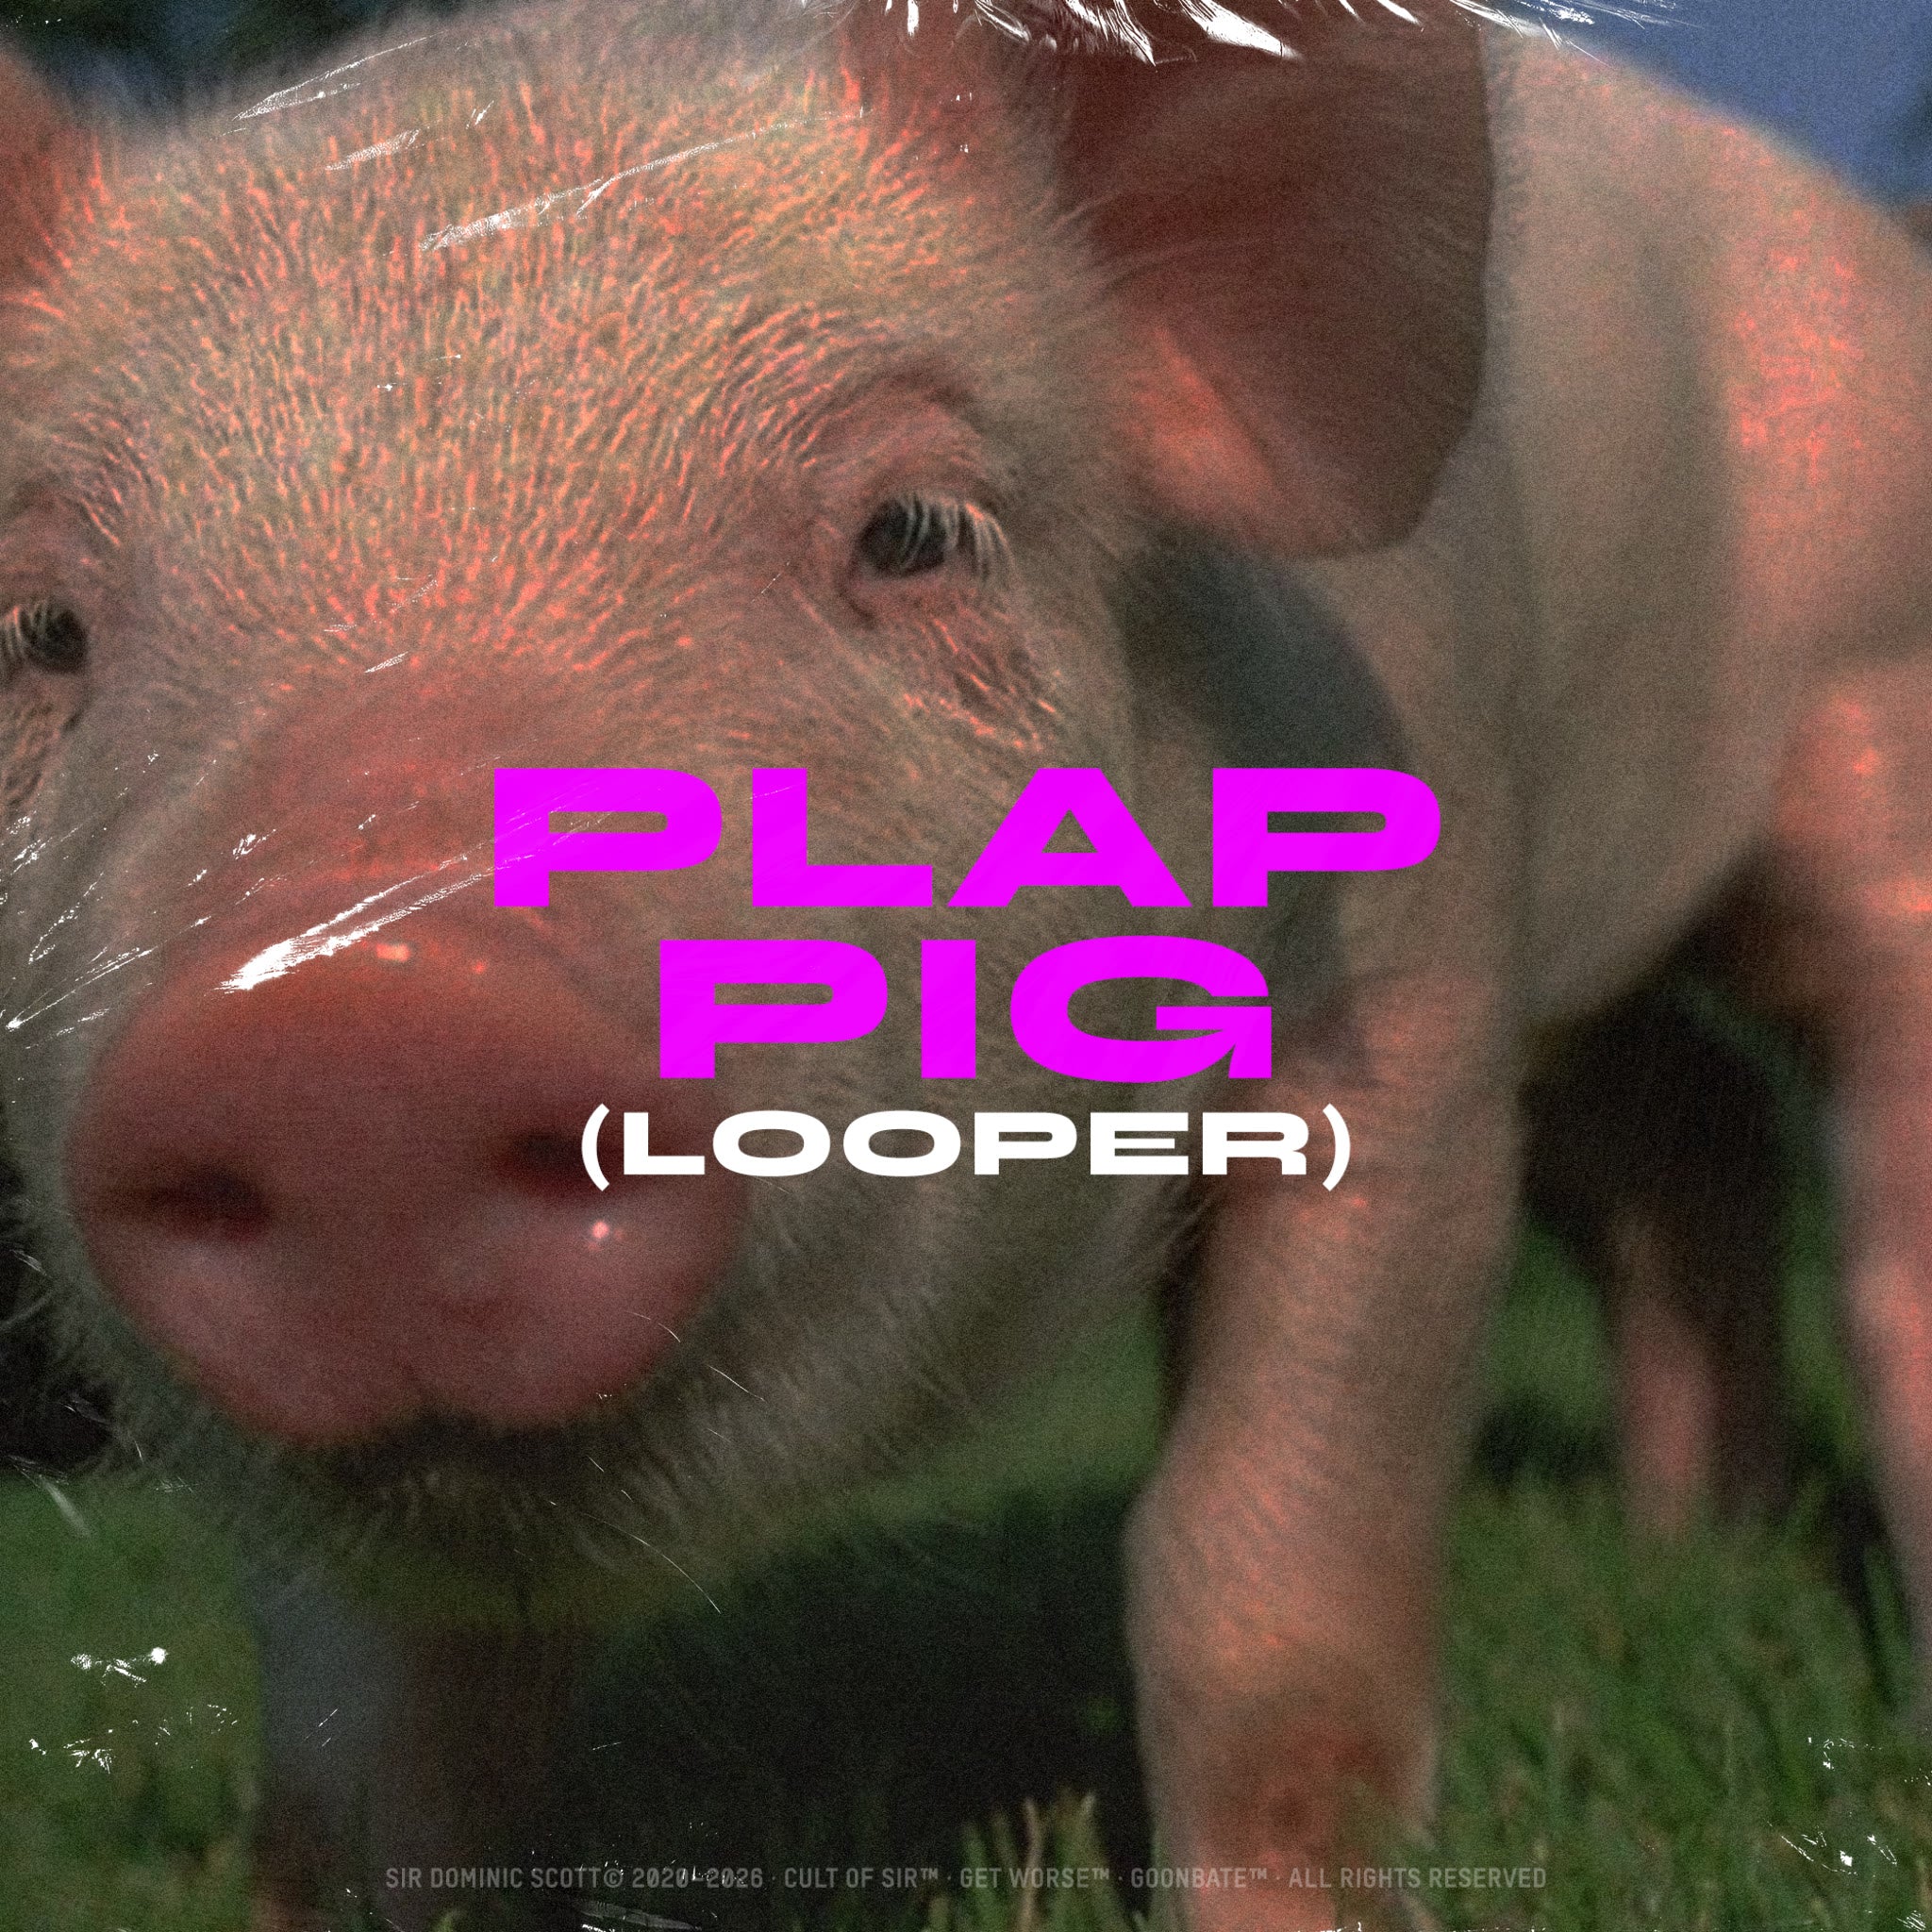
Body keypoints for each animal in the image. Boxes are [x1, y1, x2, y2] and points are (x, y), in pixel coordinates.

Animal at [0, 1, 1928, 1927]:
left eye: (915, 531)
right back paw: (1683, 1549)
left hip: (1864, 675)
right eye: (43, 627)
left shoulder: (1415, 991)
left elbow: (1257, 1580)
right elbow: (372, 1747)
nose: (364, 1013)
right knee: (1687, 1140)